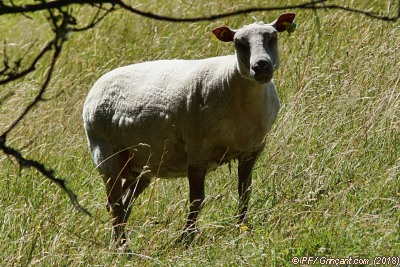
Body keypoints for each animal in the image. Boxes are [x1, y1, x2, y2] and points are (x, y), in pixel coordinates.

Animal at [83, 13, 296, 247]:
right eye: (238, 43)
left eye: (273, 37)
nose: (261, 66)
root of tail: (95, 87)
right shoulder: (197, 151)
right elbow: (196, 200)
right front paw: (186, 240)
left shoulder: (252, 150)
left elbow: (244, 192)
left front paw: (240, 230)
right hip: (105, 153)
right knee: (115, 203)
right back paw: (123, 246)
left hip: (140, 163)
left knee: (122, 201)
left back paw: (116, 242)